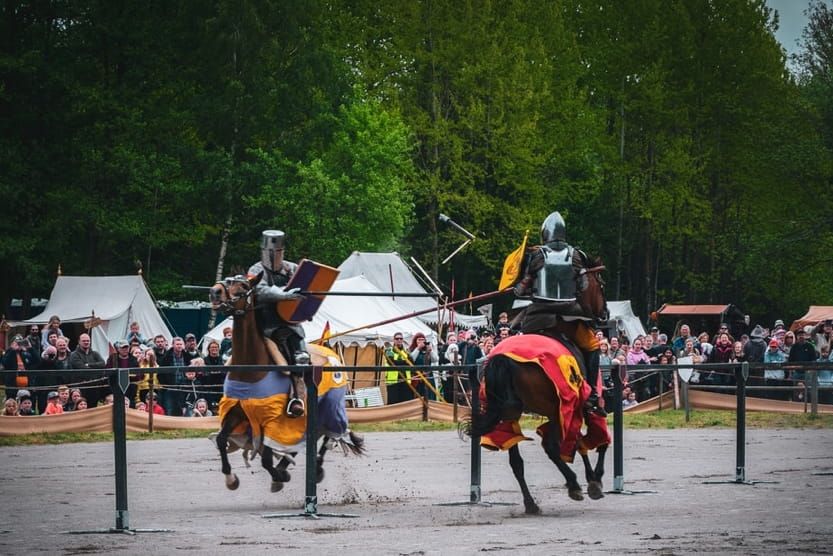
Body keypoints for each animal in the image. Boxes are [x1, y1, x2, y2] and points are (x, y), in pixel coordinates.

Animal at [208, 272, 364, 490]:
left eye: (243, 287)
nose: (215, 292)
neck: (251, 367)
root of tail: (331, 353)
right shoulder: (236, 411)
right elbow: (222, 440)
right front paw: (231, 478)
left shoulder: (271, 419)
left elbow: (266, 458)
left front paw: (278, 478)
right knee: (313, 435)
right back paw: (287, 465)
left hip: (330, 404)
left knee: (329, 433)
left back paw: (315, 467)